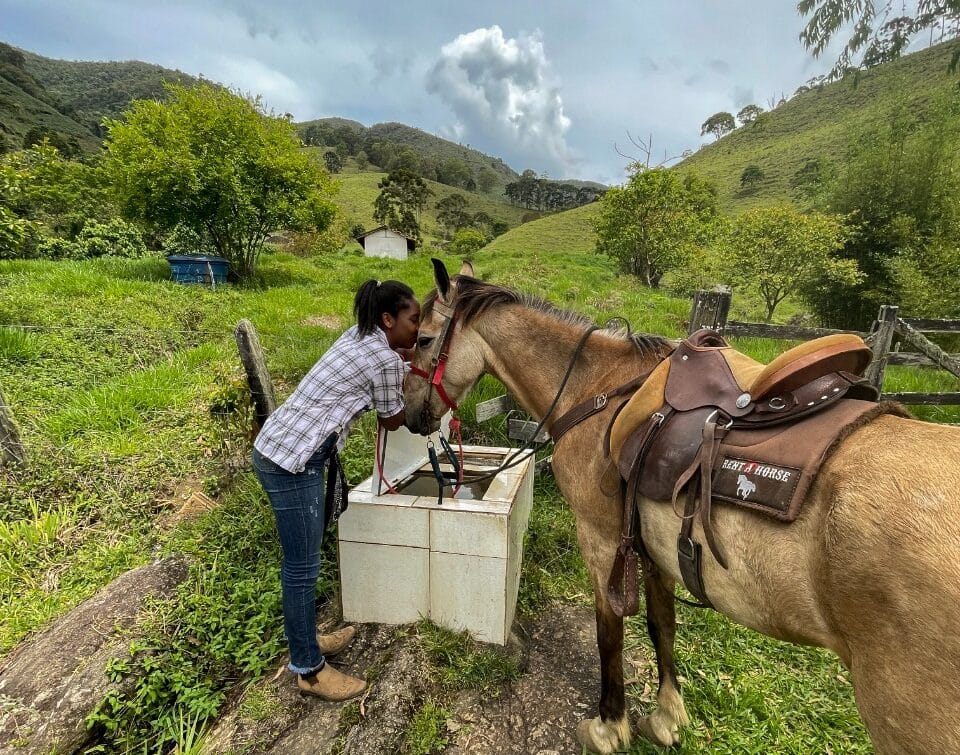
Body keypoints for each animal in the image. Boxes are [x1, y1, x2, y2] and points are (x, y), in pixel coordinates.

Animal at [402, 260, 960, 755]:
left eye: (425, 339)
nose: (409, 414)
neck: (596, 388)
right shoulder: (656, 549)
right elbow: (661, 624)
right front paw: (668, 716)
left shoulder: (601, 539)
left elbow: (610, 630)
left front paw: (609, 725)